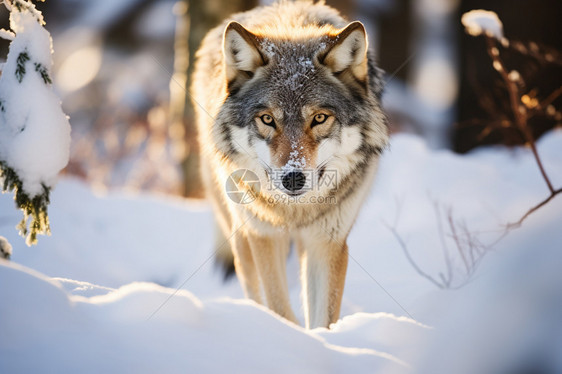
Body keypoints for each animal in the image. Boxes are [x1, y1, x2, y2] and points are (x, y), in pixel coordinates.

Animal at [190, 0, 388, 328]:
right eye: (267, 119)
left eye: (319, 118)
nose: (293, 178)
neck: (295, 213)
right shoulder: (264, 236)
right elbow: (279, 308)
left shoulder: (327, 242)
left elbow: (323, 317)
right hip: (240, 230)